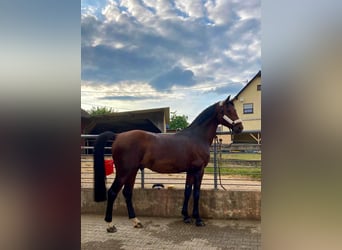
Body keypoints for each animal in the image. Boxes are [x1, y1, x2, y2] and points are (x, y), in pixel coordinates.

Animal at [93, 94, 243, 231]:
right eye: (228, 110)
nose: (240, 128)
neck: (197, 137)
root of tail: (118, 135)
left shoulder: (190, 171)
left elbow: (187, 191)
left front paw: (186, 216)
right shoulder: (198, 170)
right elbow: (196, 193)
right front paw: (198, 219)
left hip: (132, 171)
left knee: (127, 192)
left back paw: (136, 221)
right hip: (124, 172)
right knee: (112, 192)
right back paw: (110, 224)